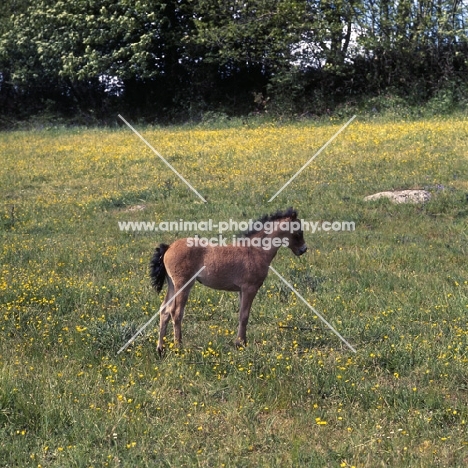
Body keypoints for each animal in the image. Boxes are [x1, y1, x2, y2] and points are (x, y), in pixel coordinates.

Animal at [150, 207, 308, 352]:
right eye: (299, 231)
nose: (303, 250)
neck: (256, 250)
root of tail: (169, 247)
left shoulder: (241, 290)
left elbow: (241, 314)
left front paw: (240, 342)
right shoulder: (250, 288)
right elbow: (244, 316)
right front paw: (241, 344)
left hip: (172, 284)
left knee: (164, 310)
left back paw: (160, 349)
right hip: (183, 285)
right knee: (176, 312)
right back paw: (178, 347)